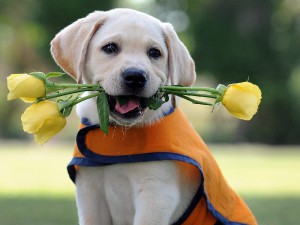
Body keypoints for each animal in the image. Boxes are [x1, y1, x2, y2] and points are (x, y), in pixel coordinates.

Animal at [50, 8, 256, 225]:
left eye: (154, 53)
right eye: (110, 48)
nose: (135, 77)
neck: (120, 131)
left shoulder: (157, 194)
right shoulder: (89, 193)